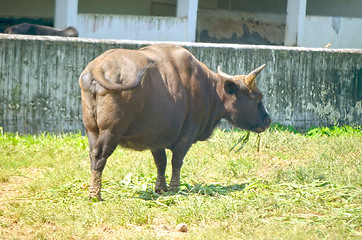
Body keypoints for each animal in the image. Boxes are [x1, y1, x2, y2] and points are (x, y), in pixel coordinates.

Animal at [80, 43, 272, 201]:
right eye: (257, 97)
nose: (268, 120)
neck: (208, 89)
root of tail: (97, 67)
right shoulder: (186, 135)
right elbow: (176, 161)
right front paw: (174, 188)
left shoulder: (155, 137)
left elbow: (161, 161)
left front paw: (160, 188)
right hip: (111, 131)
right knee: (99, 156)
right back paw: (95, 194)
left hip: (92, 130)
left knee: (92, 154)